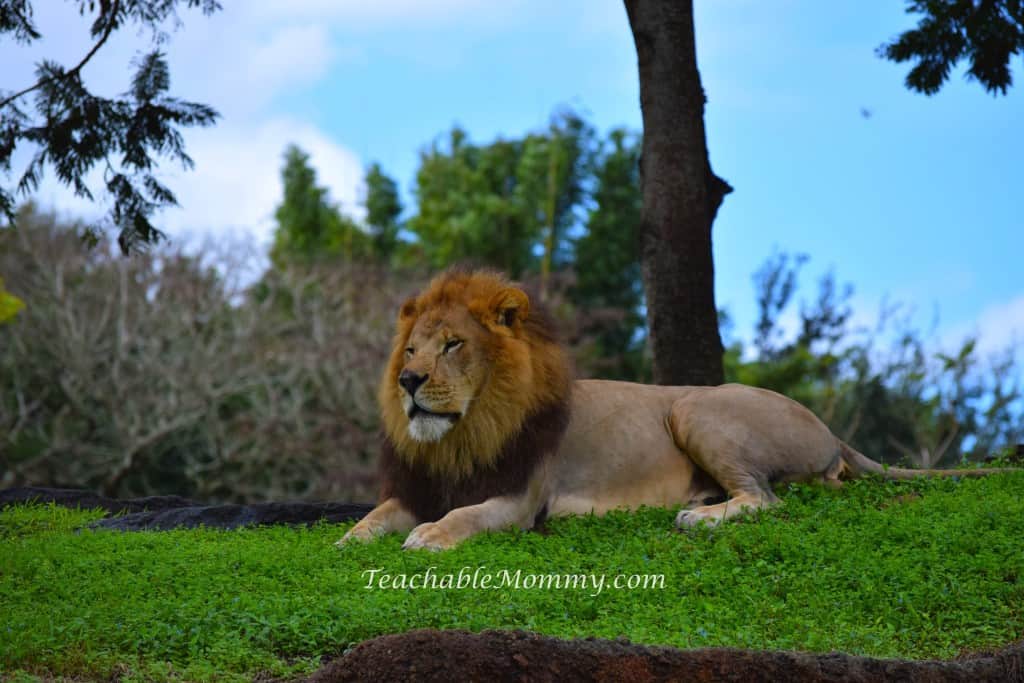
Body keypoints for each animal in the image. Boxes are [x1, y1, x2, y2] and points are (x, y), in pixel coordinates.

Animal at [339, 270, 1011, 552]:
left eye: (453, 345)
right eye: (412, 349)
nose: (408, 380)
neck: (465, 430)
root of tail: (830, 429)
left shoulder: (522, 499)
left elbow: (467, 516)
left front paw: (430, 536)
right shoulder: (420, 487)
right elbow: (377, 514)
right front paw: (350, 539)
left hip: (695, 408)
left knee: (767, 499)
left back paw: (701, 518)